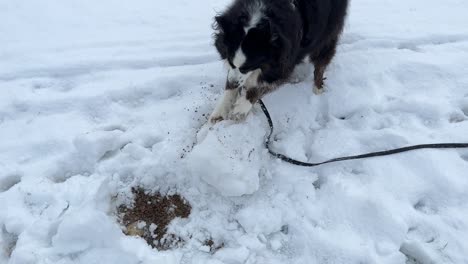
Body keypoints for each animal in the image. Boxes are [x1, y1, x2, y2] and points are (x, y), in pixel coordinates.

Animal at [208, 0, 348, 122]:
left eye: (247, 67)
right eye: (230, 62)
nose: (234, 84)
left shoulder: (284, 58)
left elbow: (266, 84)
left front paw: (241, 108)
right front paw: (219, 112)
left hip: (328, 28)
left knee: (323, 55)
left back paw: (318, 87)